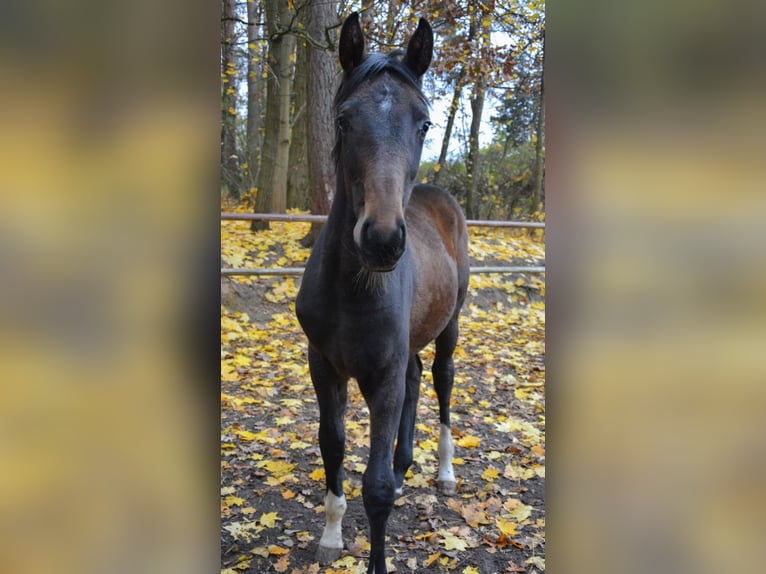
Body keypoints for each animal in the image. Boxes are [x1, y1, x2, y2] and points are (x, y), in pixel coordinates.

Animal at [296, 13, 472, 574]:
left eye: (424, 123)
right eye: (344, 119)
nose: (382, 239)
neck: (353, 289)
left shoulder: (383, 375)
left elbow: (372, 489)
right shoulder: (324, 365)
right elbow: (332, 444)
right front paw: (331, 535)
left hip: (450, 326)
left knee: (440, 381)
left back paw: (443, 472)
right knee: (417, 381)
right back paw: (402, 469)